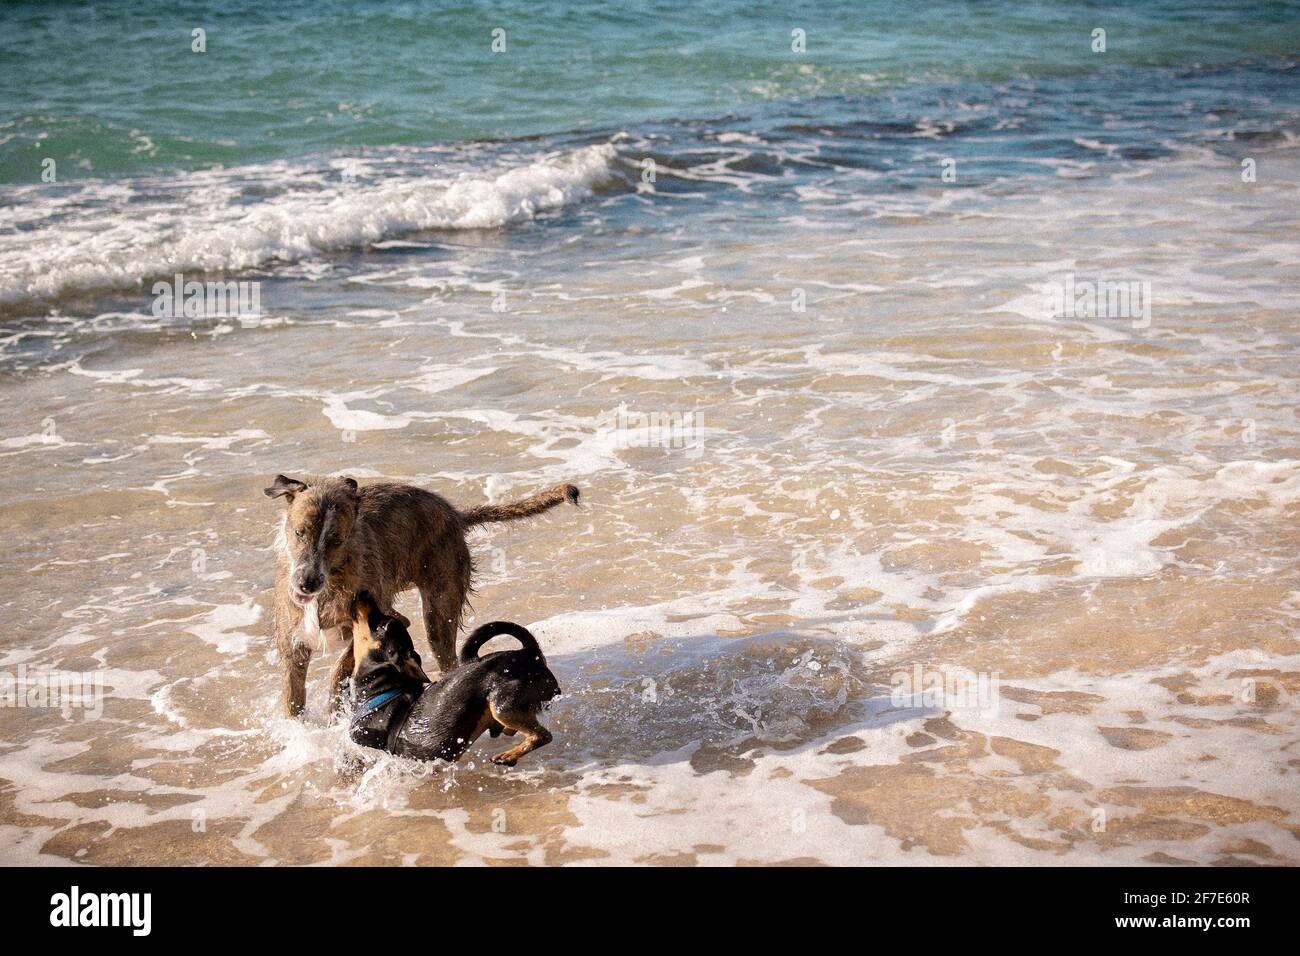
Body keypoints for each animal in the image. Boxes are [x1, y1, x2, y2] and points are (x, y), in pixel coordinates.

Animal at [263, 476, 579, 712]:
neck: (329, 583)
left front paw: (334, 708)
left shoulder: (372, 622)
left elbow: (340, 668)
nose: (305, 583)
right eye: (299, 532)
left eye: (335, 540)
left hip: (439, 610)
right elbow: (293, 702)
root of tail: (455, 514)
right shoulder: (293, 645)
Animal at [351, 595, 559, 764]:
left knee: (543, 736)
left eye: (380, 626)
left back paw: (507, 756)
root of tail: (530, 653)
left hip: (502, 703)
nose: (365, 594)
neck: (379, 691)